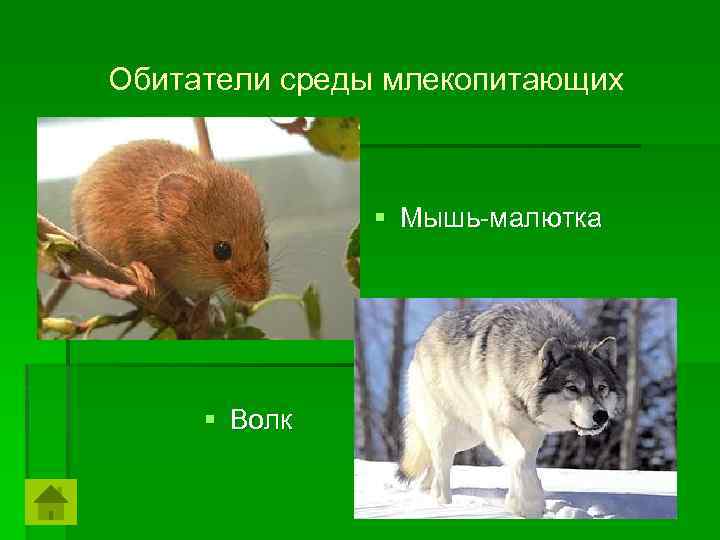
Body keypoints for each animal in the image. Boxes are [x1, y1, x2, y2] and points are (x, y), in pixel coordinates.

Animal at [397, 301, 625, 518]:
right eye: (572, 388)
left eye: (601, 388)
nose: (601, 416)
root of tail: (425, 334)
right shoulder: (497, 427)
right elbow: (520, 459)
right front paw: (531, 504)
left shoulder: (531, 434)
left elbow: (525, 464)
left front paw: (516, 505)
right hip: (450, 433)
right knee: (441, 468)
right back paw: (442, 503)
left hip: (468, 438)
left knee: (432, 464)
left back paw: (425, 491)